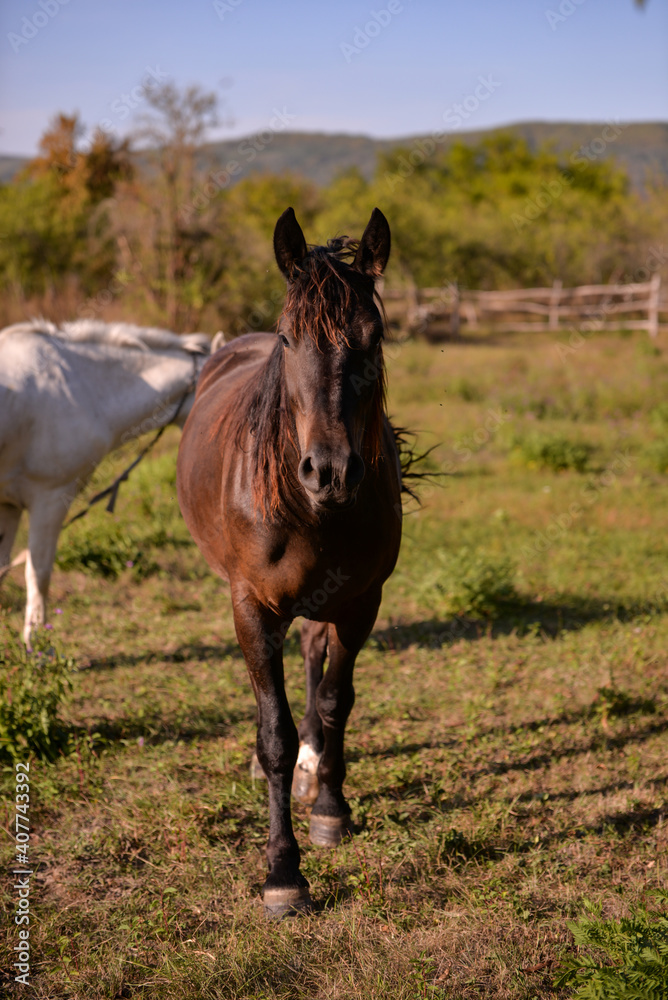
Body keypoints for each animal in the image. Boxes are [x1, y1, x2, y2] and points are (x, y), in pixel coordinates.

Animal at [177, 207, 403, 917]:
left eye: (374, 335)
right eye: (287, 337)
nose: (329, 471)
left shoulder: (360, 601)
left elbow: (335, 700)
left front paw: (330, 807)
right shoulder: (252, 605)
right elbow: (272, 729)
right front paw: (282, 873)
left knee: (311, 662)